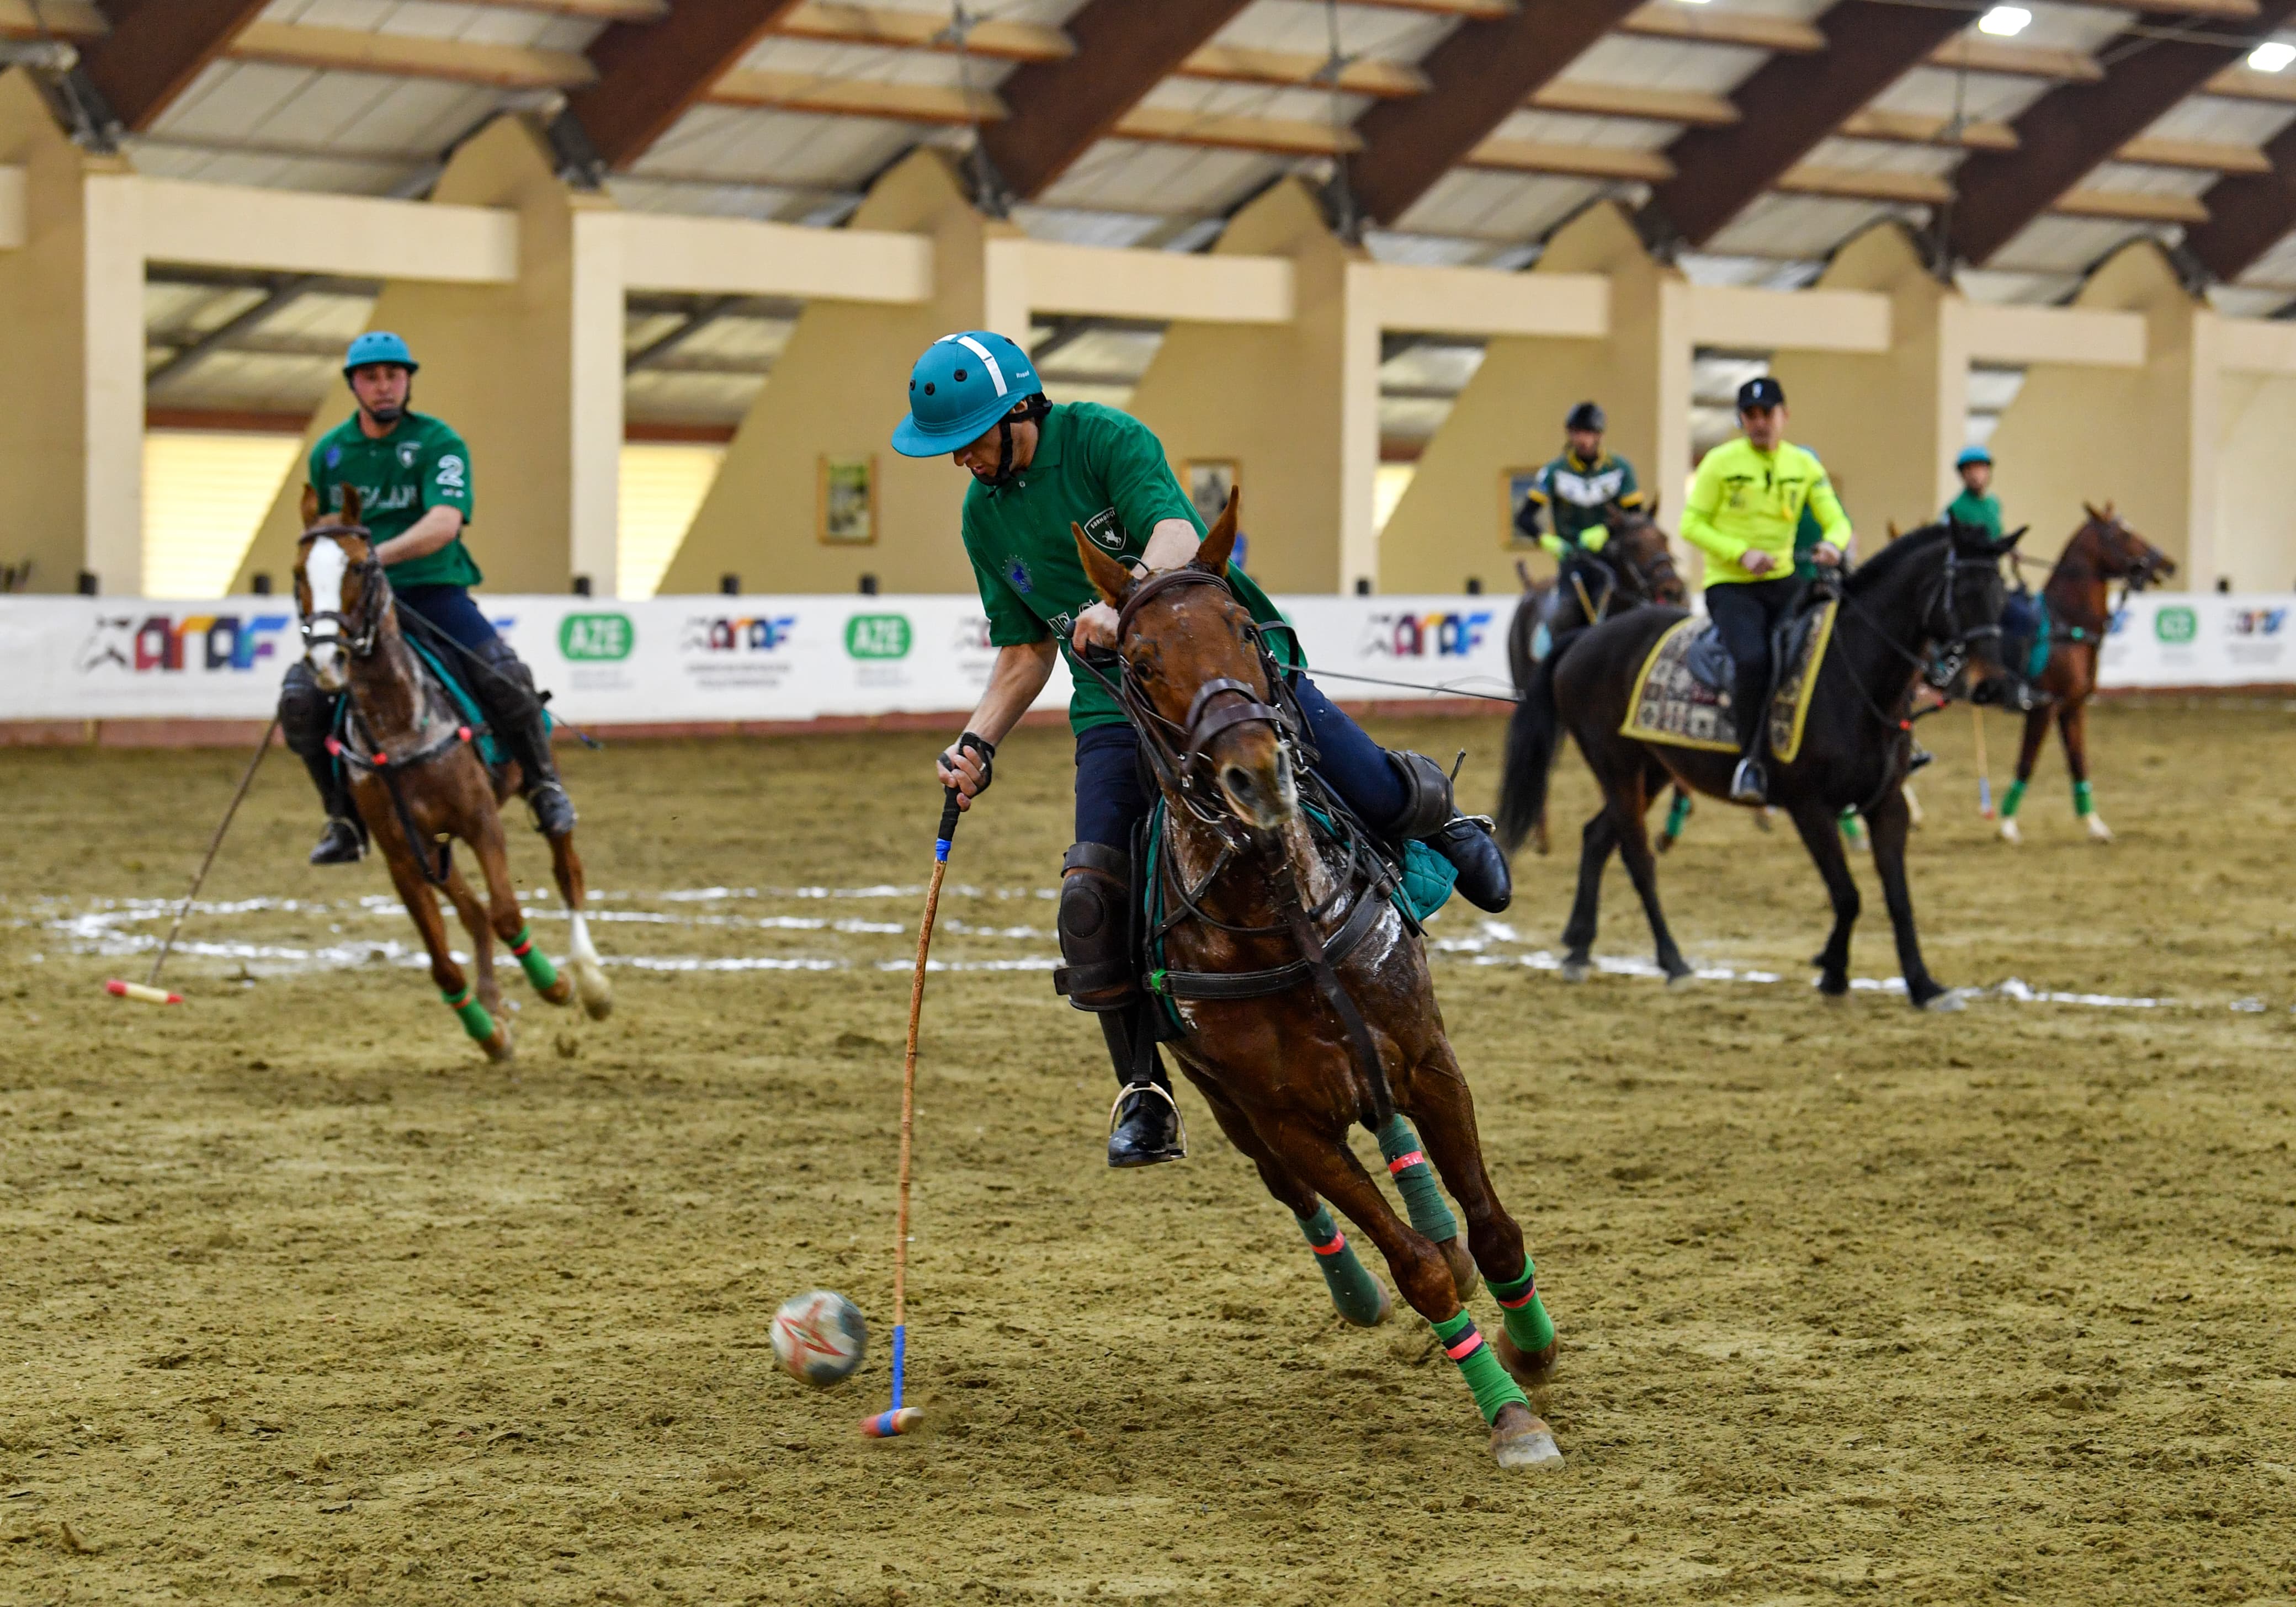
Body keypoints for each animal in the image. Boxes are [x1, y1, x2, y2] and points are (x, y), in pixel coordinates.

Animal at [294, 484, 610, 1056]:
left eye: (360, 567)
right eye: (297, 572)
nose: (327, 662)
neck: (399, 725)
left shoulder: (480, 820)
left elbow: (508, 913)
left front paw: (556, 985)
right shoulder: (402, 853)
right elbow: (444, 960)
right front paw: (489, 1031)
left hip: (529, 781)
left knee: (566, 869)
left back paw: (592, 982)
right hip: (434, 848)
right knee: (472, 912)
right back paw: (493, 1007)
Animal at [1070, 496, 1561, 1478]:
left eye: (1242, 628)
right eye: (1138, 664)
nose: (1256, 773)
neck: (1286, 916)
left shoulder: (1428, 1057)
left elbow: (1492, 1226)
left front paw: (1533, 1350)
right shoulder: (1286, 1117)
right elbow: (1415, 1268)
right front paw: (1511, 1416)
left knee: (1399, 1137)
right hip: (1229, 1109)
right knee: (1293, 1192)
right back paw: (1355, 1288)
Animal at [1497, 503, 1699, 858]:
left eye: (1664, 537)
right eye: (1632, 544)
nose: (1673, 590)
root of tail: (1531, 589)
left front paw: (1670, 828)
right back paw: (1541, 833)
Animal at [1533, 521, 2020, 1010]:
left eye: (2001, 592)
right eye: (1962, 593)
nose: (1993, 686)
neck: (1853, 678)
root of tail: (1587, 638)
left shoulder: (1888, 805)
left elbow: (1898, 898)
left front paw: (1923, 986)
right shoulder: (1811, 809)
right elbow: (1848, 895)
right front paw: (1833, 972)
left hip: (1652, 772)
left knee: (1596, 837)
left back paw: (1578, 949)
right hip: (1616, 769)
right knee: (1638, 860)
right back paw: (1674, 963)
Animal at [2002, 503, 2176, 849]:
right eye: (2123, 534)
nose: (2169, 565)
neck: (2067, 624)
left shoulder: (2073, 707)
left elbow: (2079, 763)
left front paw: (2096, 826)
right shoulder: (2043, 708)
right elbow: (2027, 762)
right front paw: (2007, 825)